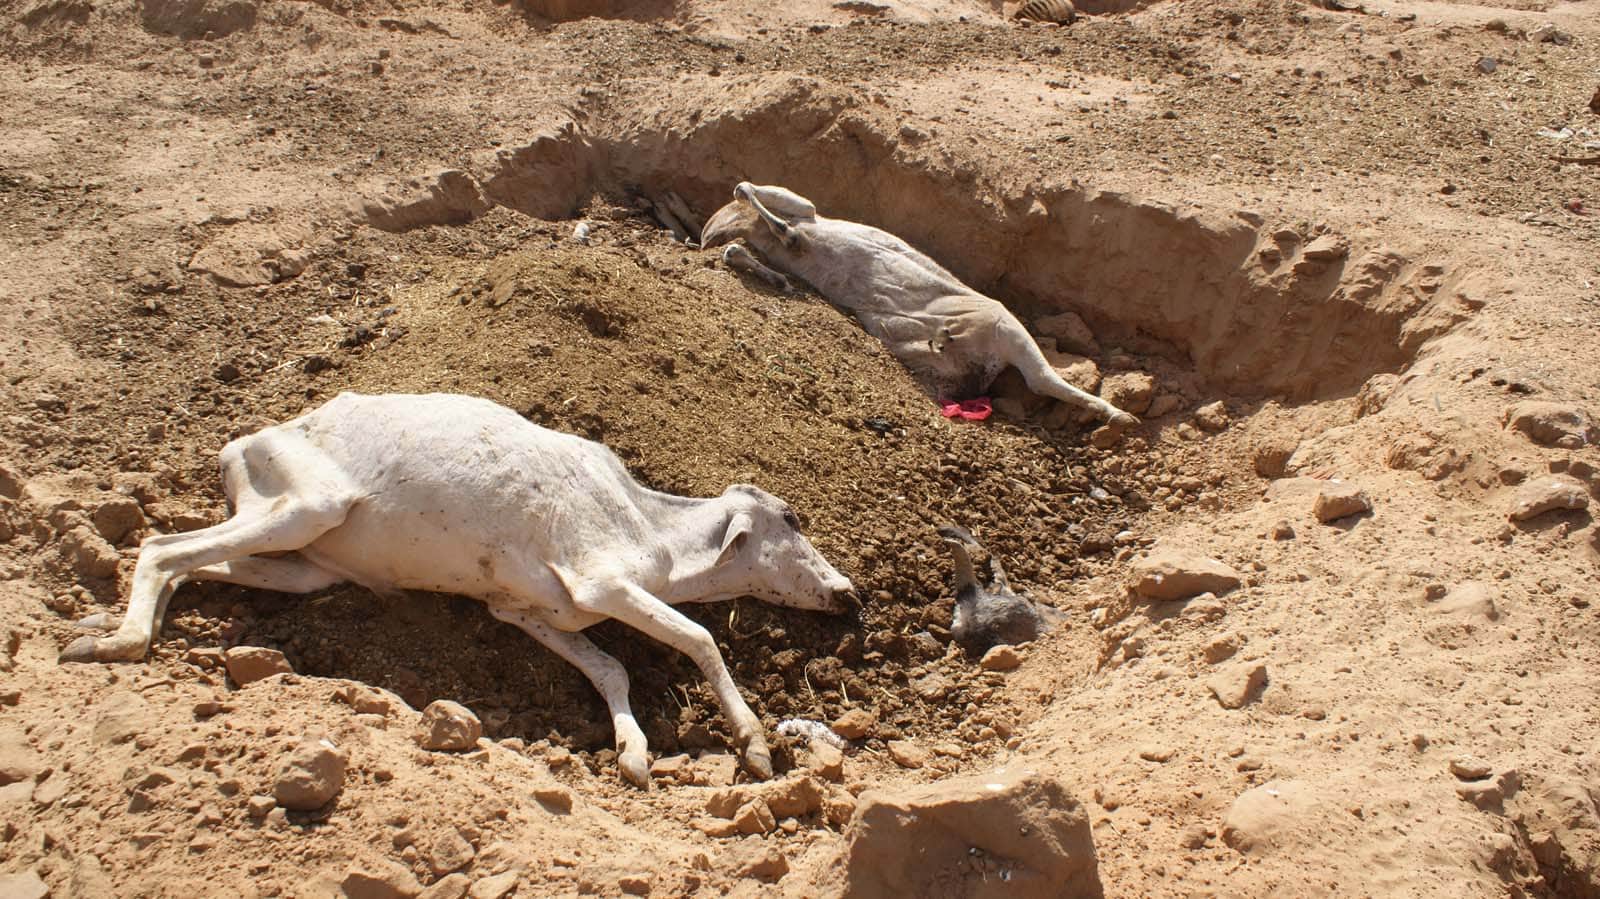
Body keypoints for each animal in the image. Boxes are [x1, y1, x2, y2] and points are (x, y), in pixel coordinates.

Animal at [60, 392, 854, 787]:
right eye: (791, 517)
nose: (849, 594)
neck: (648, 528)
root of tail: (240, 446)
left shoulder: (526, 609)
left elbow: (610, 668)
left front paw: (632, 754)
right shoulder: (603, 579)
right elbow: (699, 636)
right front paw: (753, 743)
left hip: (303, 560)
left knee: (187, 563)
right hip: (306, 505)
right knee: (160, 546)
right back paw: (115, 642)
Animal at [700, 182, 1139, 438]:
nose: (704, 234)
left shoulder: (802, 208)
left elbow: (753, 197)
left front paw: (781, 234)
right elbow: (751, 226)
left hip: (1003, 327)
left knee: (1042, 379)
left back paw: (1119, 416)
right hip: (967, 354)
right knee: (1036, 380)